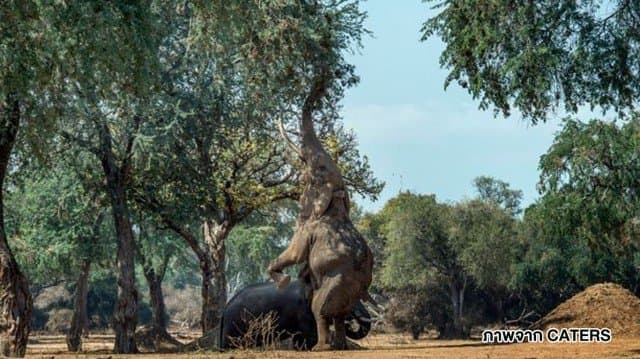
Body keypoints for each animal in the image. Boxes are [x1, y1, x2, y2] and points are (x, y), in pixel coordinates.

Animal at [220, 280, 370, 350]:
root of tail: (225, 308)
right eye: (346, 298)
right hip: (234, 325)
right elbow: (310, 333)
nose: (349, 321)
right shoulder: (303, 310)